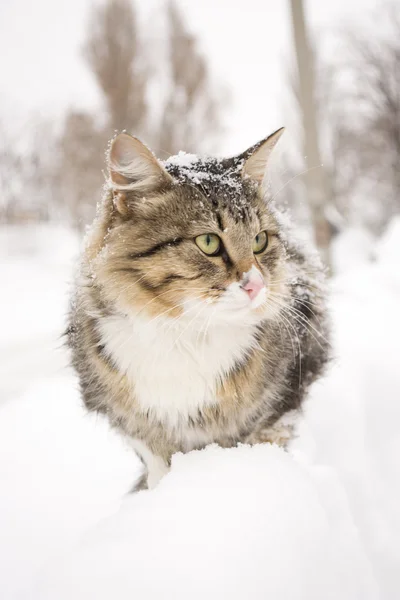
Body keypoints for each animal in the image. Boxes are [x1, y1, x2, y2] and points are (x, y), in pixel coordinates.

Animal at [67, 129, 330, 490]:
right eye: (208, 243)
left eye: (260, 240)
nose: (256, 285)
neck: (182, 333)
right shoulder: (127, 418)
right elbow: (156, 463)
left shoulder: (279, 402)